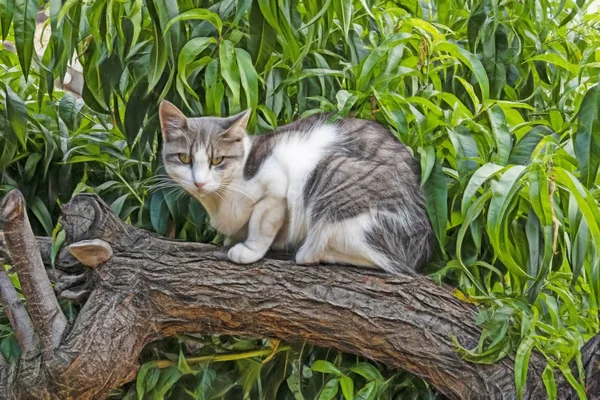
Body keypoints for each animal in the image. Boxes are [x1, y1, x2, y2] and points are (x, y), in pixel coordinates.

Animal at [157, 101, 434, 276]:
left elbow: (261, 225)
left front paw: (249, 250)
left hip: (334, 174)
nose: (199, 182)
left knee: (375, 258)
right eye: (184, 158)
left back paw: (310, 251)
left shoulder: (276, 188)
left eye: (217, 160)